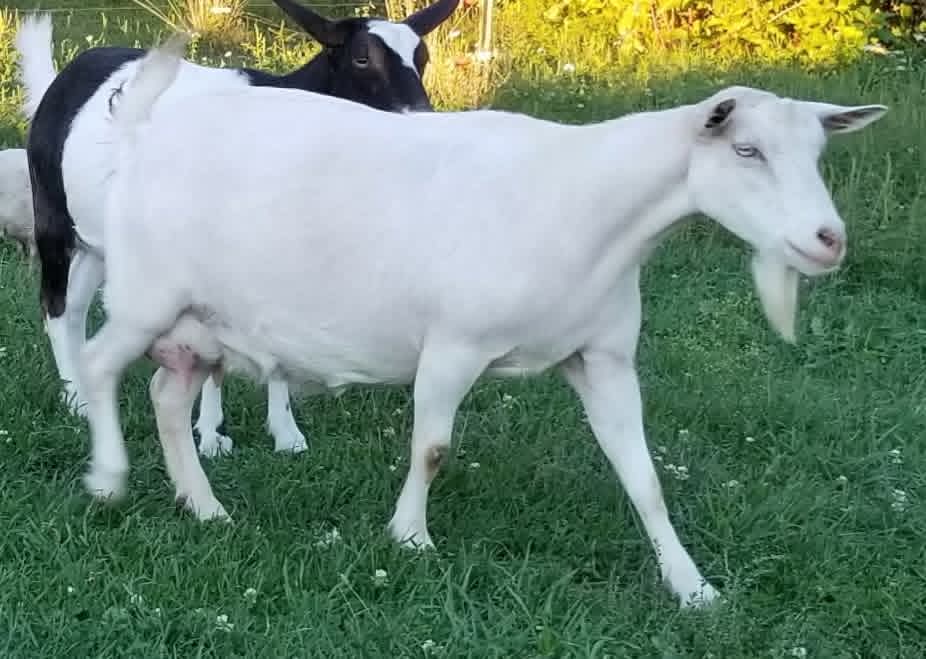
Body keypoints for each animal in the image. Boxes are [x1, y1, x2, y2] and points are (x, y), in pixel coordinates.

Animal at [14, 0, 458, 458]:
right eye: (361, 57)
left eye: (422, 57)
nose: (421, 116)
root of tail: (64, 76)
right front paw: (212, 435)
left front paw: (286, 434)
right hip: (52, 216)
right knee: (55, 304)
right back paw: (77, 400)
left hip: (103, 242)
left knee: (76, 307)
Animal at [80, 38, 886, 608]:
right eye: (747, 150)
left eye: (817, 153)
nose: (829, 240)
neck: (588, 204)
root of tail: (145, 129)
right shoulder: (453, 345)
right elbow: (433, 448)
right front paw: (410, 539)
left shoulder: (603, 358)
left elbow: (645, 476)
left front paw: (692, 586)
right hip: (147, 297)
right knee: (97, 366)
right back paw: (111, 480)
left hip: (201, 324)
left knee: (166, 396)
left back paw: (205, 507)